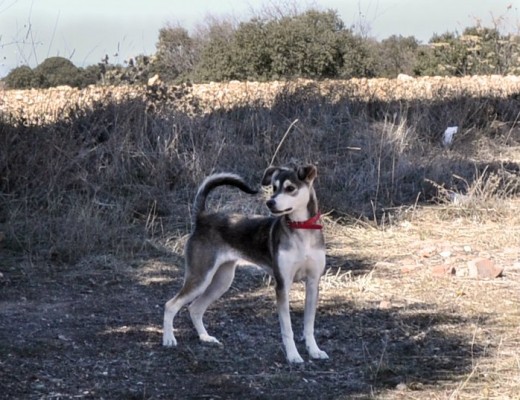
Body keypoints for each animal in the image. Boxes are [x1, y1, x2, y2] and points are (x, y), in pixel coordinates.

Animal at [161, 164, 330, 364]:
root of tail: (202, 217)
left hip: (221, 281)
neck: (302, 230)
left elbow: (309, 325)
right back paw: (169, 339)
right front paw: (293, 355)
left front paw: (314, 350)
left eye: (290, 188)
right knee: (171, 305)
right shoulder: (283, 285)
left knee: (195, 308)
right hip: (200, 277)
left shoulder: (313, 284)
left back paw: (205, 338)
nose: (270, 203)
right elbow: (287, 329)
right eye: (274, 187)